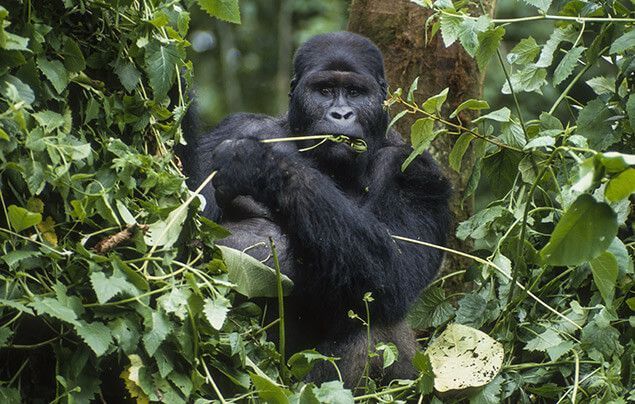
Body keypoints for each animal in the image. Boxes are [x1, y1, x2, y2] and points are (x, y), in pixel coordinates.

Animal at [181, 32, 452, 388]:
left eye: (355, 92)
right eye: (324, 90)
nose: (341, 114)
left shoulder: (418, 170)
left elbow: (396, 272)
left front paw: (257, 165)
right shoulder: (234, 128)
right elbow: (192, 227)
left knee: (376, 317)